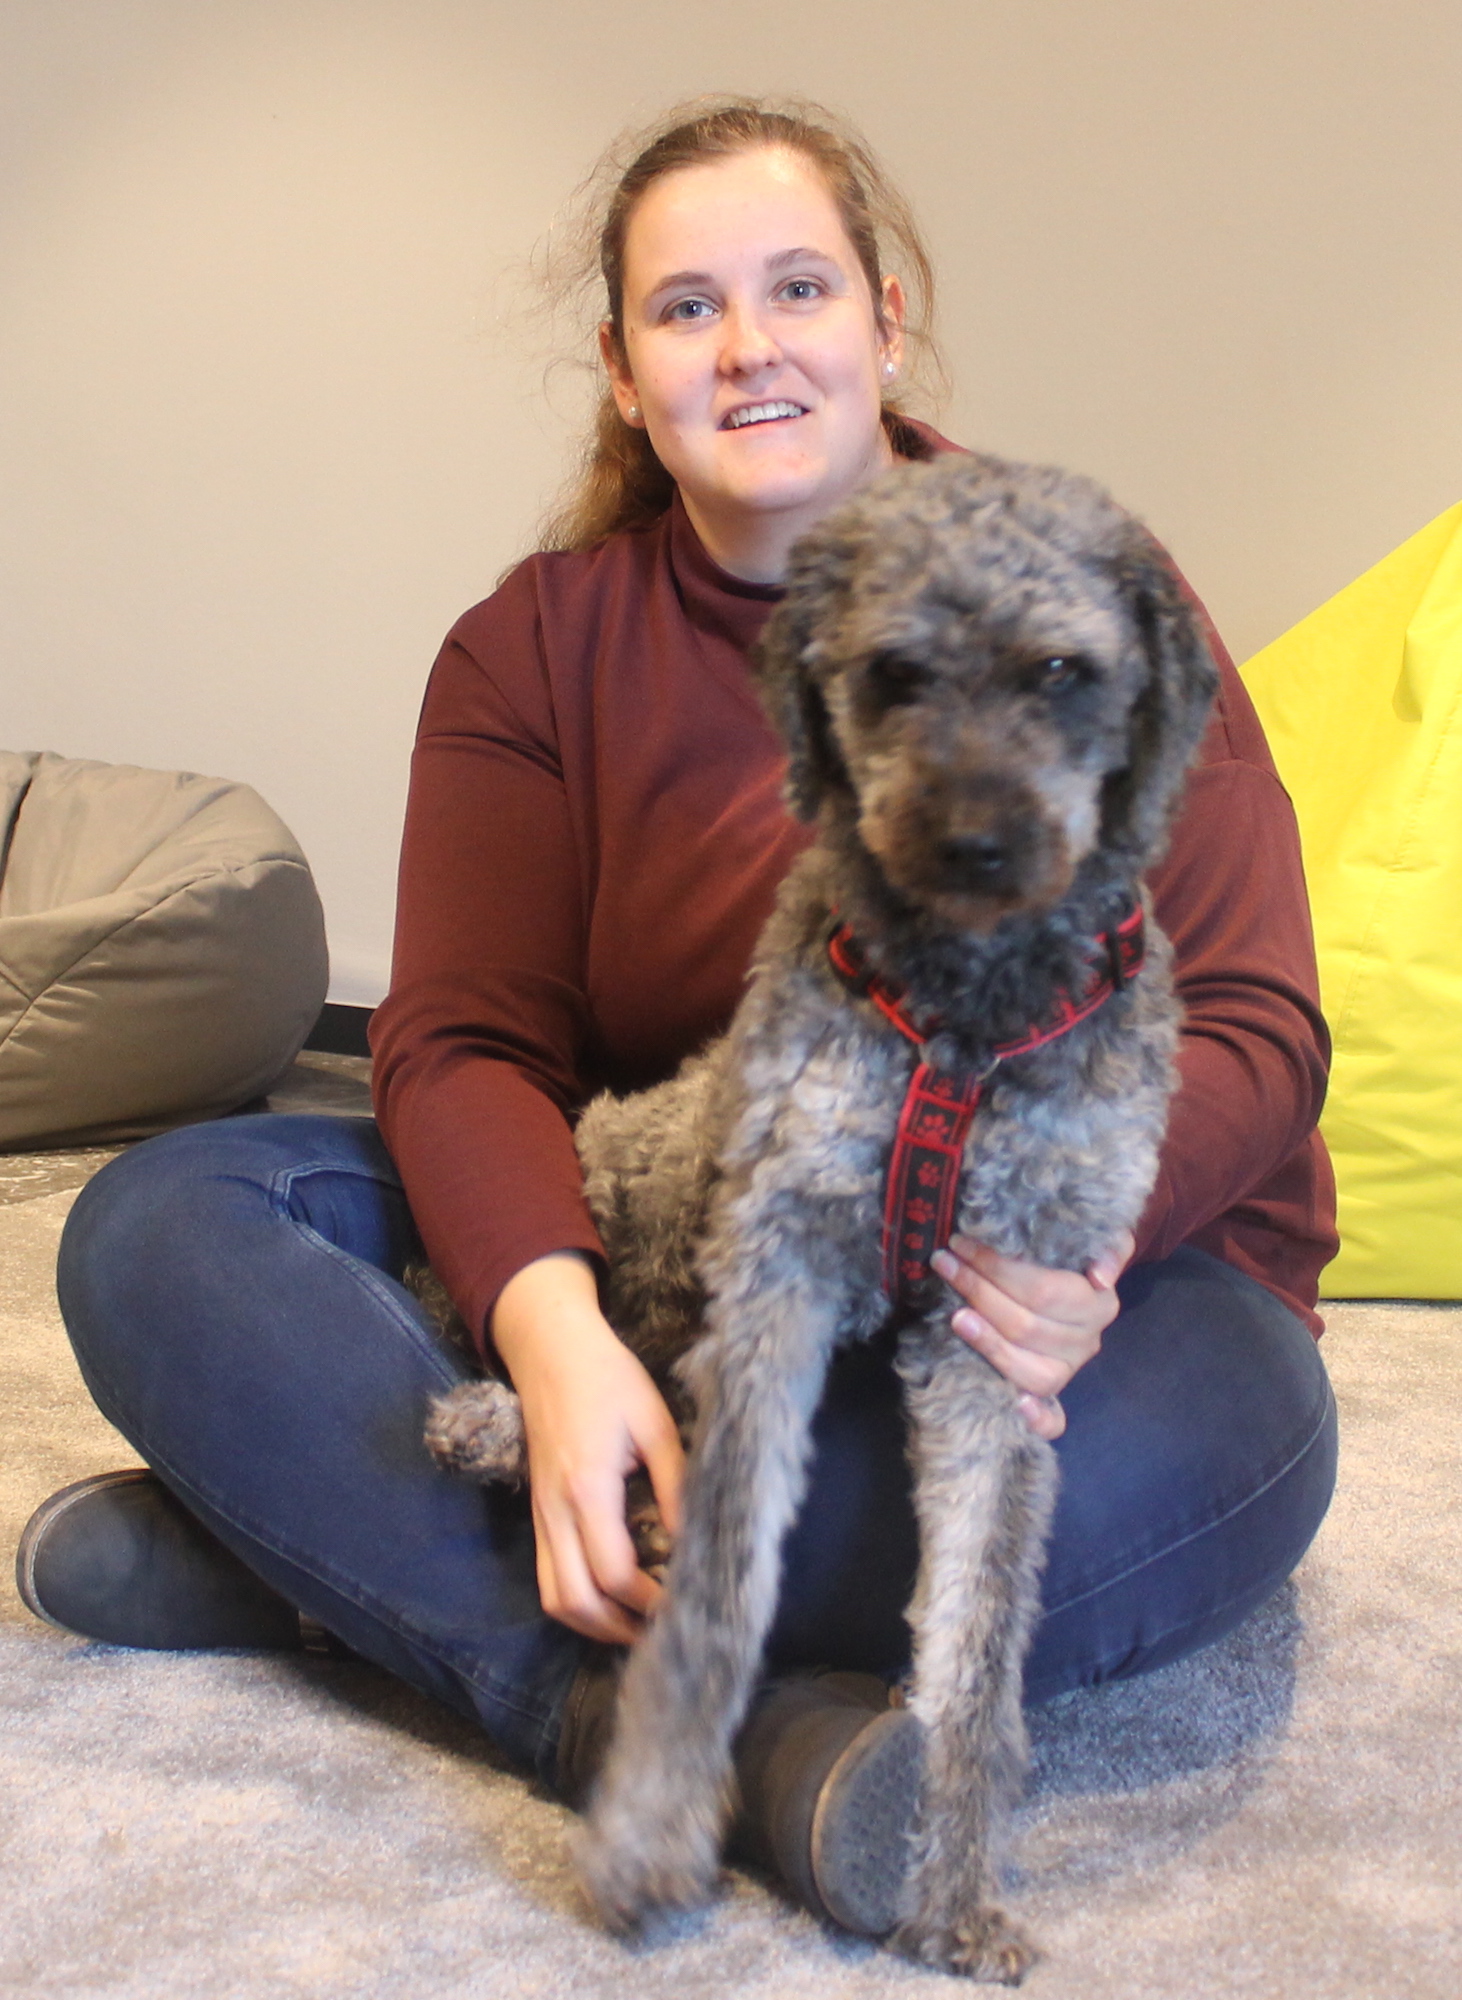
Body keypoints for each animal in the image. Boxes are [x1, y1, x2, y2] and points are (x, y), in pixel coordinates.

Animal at [426, 458, 1224, 1984]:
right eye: (891, 671)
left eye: (1060, 669)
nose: (975, 843)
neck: (965, 1019)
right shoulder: (779, 1258)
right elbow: (727, 1572)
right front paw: (650, 1832)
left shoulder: (998, 1324)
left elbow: (976, 1644)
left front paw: (954, 1891)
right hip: (639, 1173)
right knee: (582, 1349)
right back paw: (508, 1430)